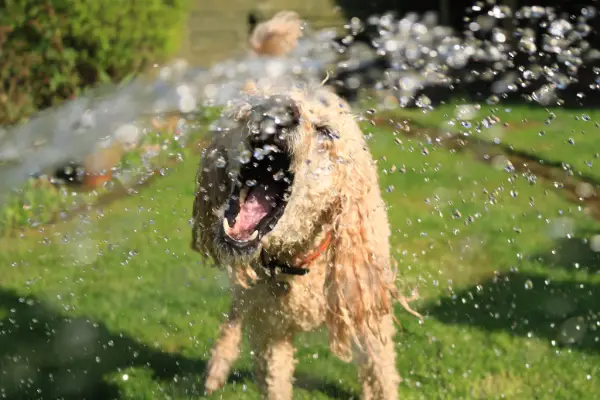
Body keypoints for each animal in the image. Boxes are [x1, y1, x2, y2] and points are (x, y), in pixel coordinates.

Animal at [192, 83, 422, 398]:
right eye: (254, 107)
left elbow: (380, 377)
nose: (282, 109)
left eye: (326, 131)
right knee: (235, 313)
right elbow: (274, 381)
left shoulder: (368, 313)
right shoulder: (269, 332)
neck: (299, 260)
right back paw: (217, 368)